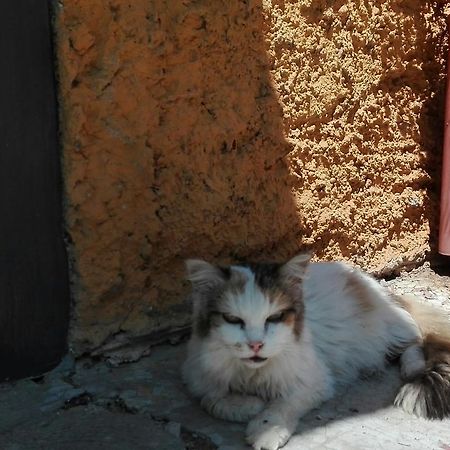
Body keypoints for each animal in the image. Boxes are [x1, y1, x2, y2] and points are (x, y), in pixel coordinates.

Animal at [182, 253, 450, 450]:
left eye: (275, 318)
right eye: (233, 320)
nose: (256, 344)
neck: (252, 374)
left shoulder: (314, 381)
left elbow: (283, 404)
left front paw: (266, 429)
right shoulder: (199, 375)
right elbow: (211, 399)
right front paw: (249, 406)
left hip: (386, 330)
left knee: (416, 340)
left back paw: (411, 366)